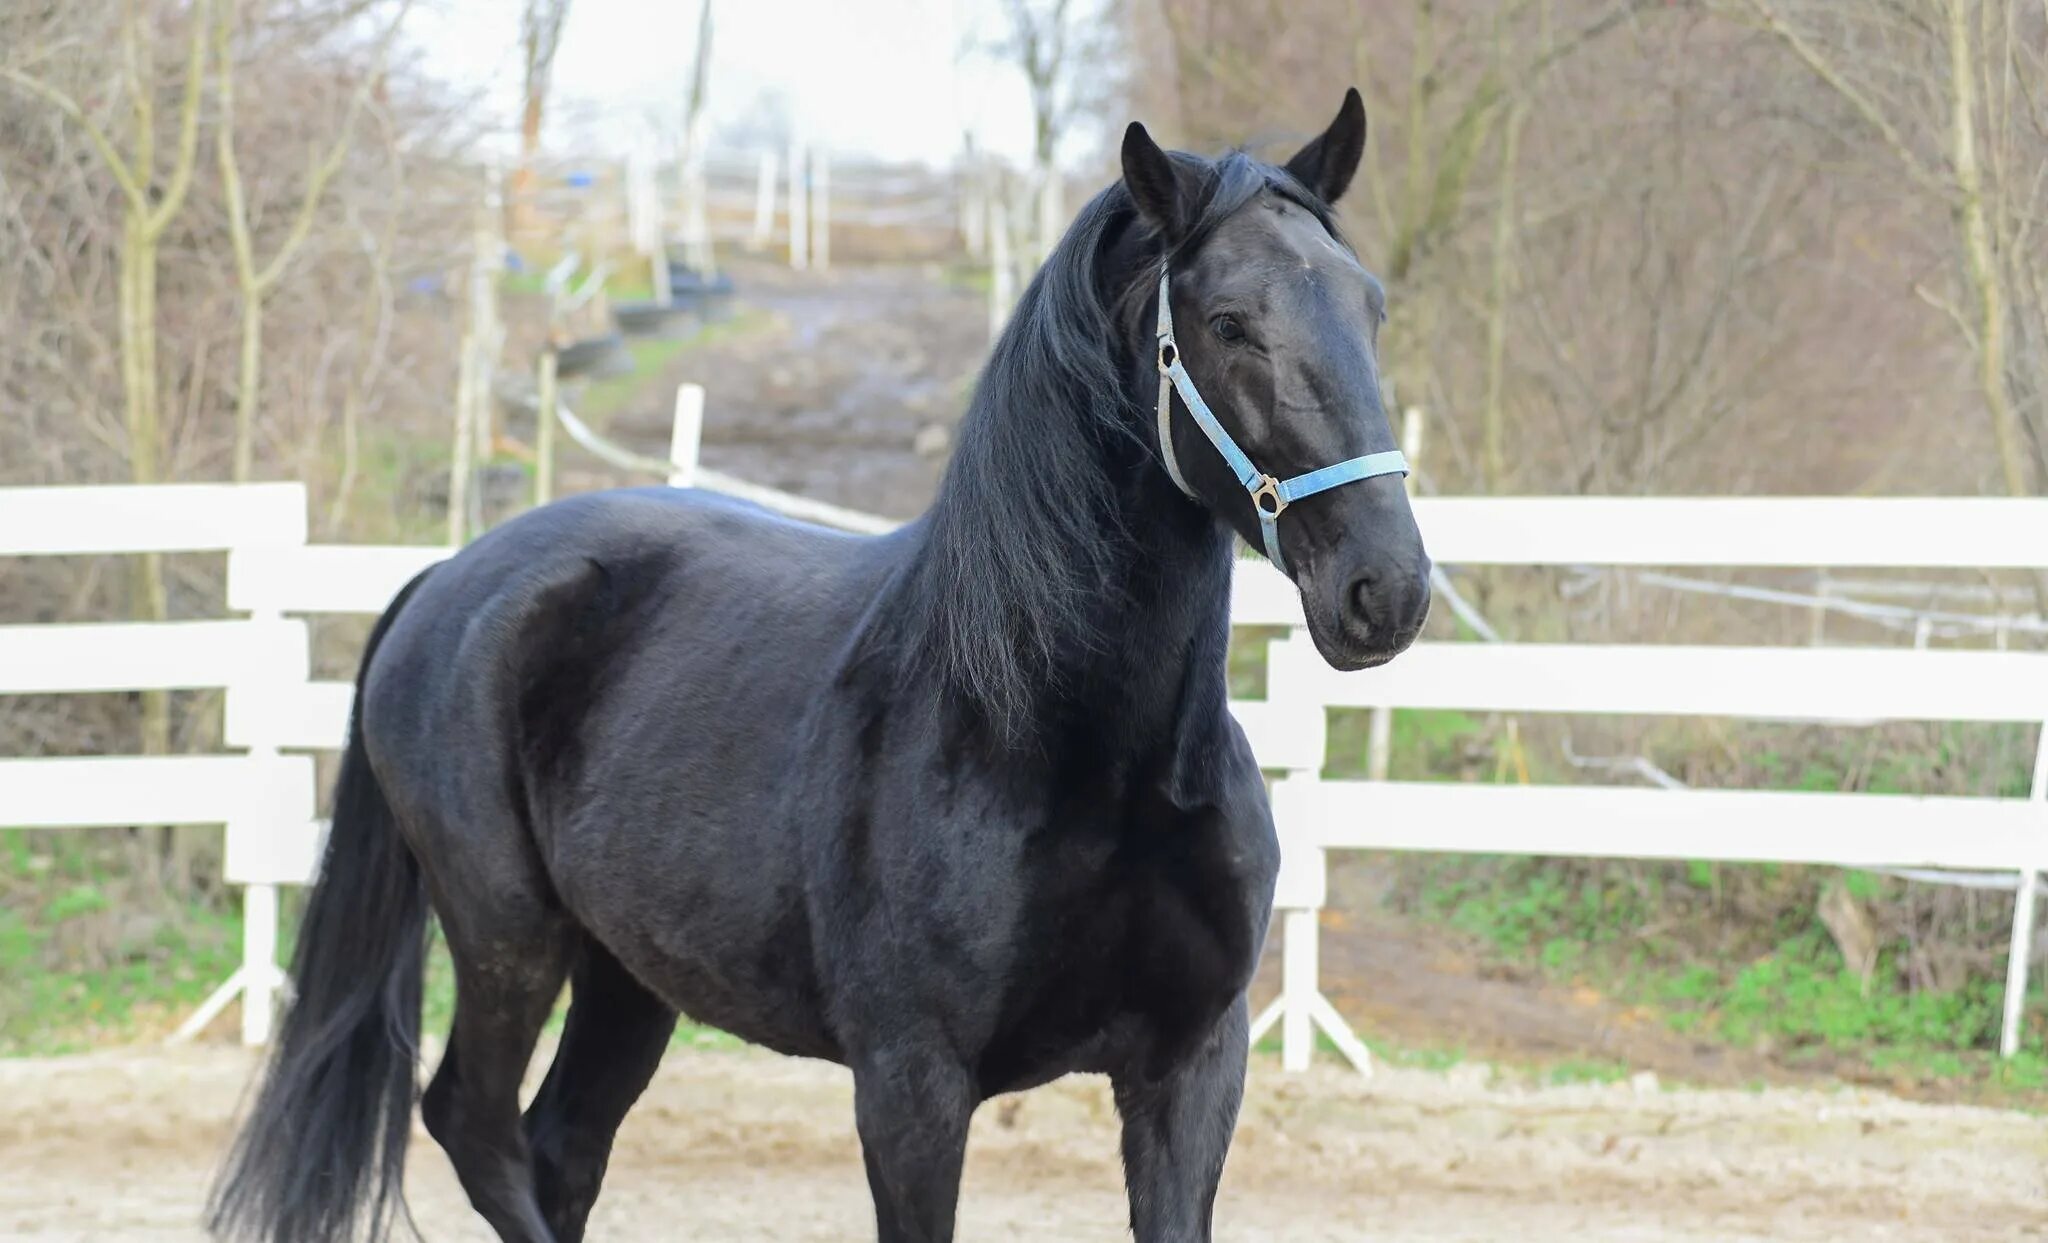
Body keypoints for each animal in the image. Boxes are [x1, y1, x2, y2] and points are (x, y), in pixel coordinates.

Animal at [207, 92, 1425, 1243]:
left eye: (1369, 307)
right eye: (1228, 323)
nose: (1388, 587)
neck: (1058, 744)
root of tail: (451, 577)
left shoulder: (1190, 1072)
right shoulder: (911, 1086)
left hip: (626, 974)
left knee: (561, 1148)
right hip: (506, 935)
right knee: (475, 1126)